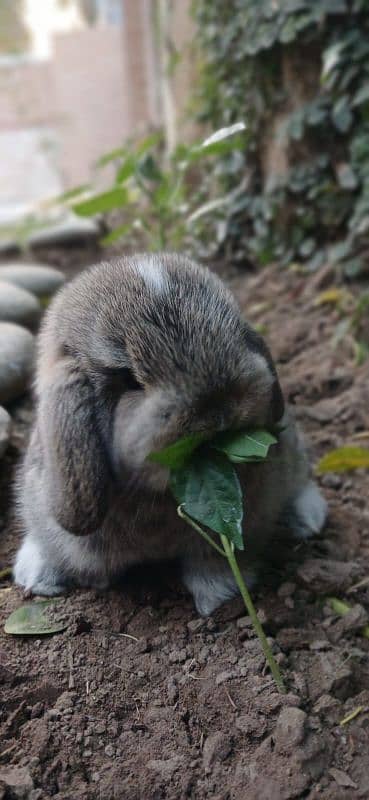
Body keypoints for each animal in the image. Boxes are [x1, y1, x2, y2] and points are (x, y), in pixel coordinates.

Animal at [12, 253, 326, 616]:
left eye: (235, 336)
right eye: (129, 379)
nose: (218, 408)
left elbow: (213, 562)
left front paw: (220, 597)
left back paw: (308, 520)